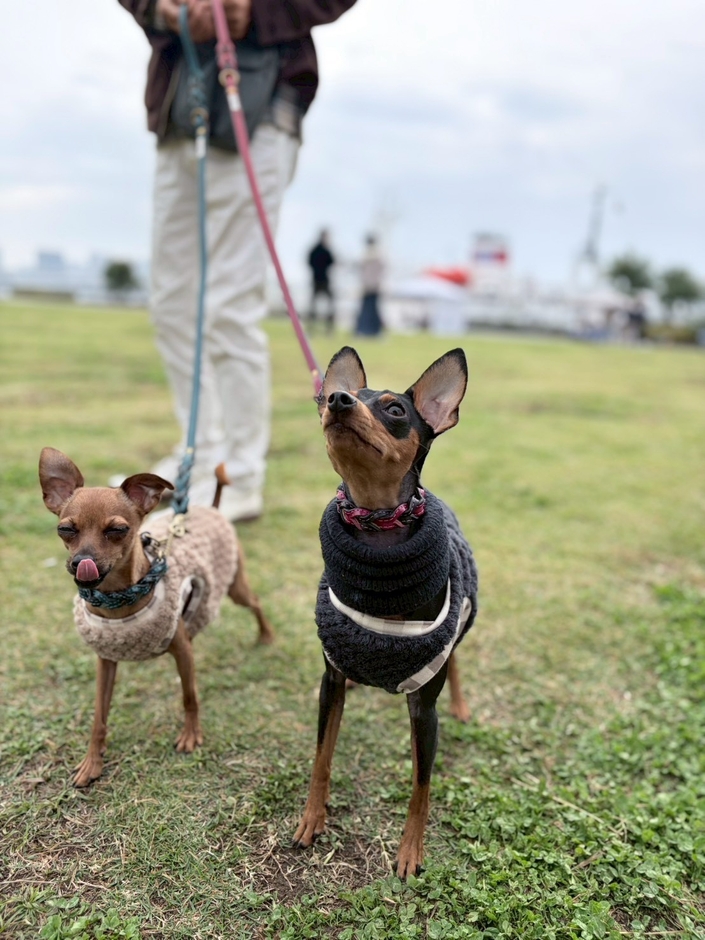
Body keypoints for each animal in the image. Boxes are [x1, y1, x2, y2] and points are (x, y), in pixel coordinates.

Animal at [38, 447, 273, 787]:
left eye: (117, 530)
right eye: (65, 530)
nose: (82, 562)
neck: (119, 599)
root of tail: (211, 509)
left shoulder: (181, 651)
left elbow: (190, 696)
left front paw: (191, 736)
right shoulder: (106, 661)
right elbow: (99, 716)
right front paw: (92, 761)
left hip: (235, 587)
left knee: (255, 603)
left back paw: (266, 635)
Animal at [293, 347, 478, 878]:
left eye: (396, 410)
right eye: (343, 394)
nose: (338, 399)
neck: (377, 524)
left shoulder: (423, 707)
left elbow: (421, 787)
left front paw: (410, 851)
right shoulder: (329, 682)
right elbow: (322, 757)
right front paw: (312, 818)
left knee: (458, 658)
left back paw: (461, 704)